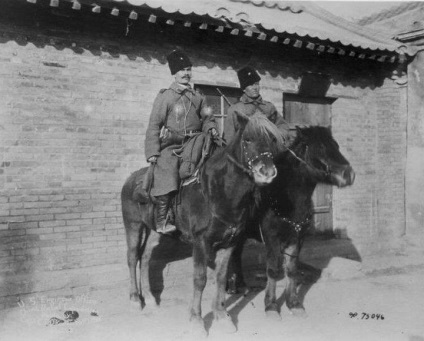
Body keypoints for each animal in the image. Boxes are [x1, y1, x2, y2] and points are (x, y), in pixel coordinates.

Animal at [121, 110, 284, 334]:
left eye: (273, 140)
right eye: (248, 139)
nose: (267, 172)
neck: (218, 192)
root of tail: (131, 181)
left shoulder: (229, 243)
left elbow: (221, 277)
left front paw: (222, 316)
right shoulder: (200, 242)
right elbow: (200, 279)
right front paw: (197, 320)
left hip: (154, 231)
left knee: (145, 258)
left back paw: (151, 300)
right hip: (133, 226)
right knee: (131, 258)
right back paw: (135, 300)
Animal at [229, 125, 354, 318]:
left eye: (336, 146)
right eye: (320, 148)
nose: (349, 174)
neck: (283, 197)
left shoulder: (297, 238)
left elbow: (291, 269)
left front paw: (294, 303)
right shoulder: (272, 238)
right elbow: (273, 270)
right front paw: (271, 306)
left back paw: (240, 285)